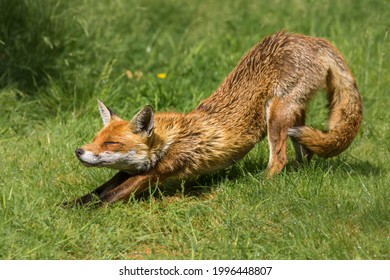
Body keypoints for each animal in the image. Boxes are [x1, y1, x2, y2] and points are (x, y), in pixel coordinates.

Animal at [67, 31, 362, 207]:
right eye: (96, 139)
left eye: (111, 144)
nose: (79, 151)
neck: (170, 139)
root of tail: (313, 39)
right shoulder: (130, 170)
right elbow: (97, 190)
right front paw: (71, 204)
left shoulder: (155, 173)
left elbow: (108, 196)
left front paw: (86, 212)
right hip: (294, 116)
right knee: (304, 154)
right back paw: (299, 172)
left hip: (276, 116)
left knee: (279, 159)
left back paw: (261, 183)